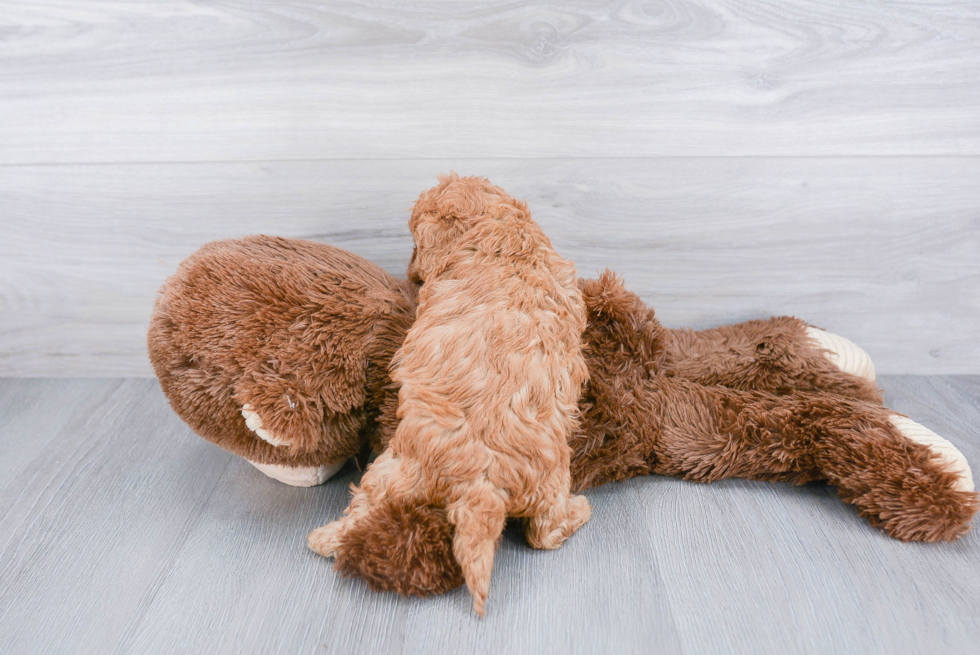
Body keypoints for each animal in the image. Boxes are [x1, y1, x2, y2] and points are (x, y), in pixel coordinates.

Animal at [310, 173, 592, 616]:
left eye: (414, 242)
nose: (410, 274)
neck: (502, 230)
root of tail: (482, 481)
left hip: (395, 470)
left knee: (366, 507)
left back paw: (326, 538)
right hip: (550, 474)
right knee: (545, 533)